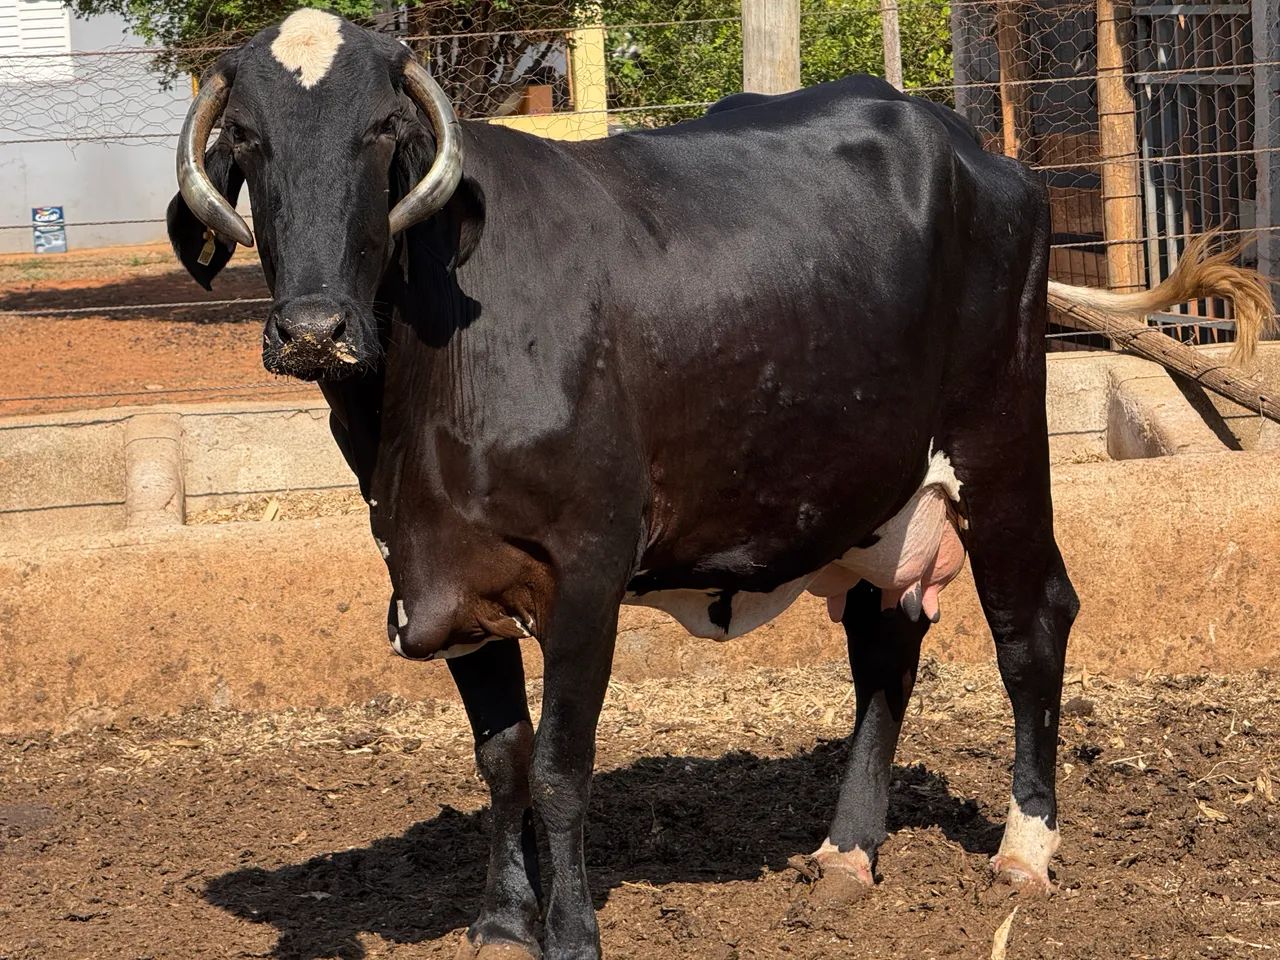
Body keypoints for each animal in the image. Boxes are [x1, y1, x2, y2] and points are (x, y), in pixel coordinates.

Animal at [167, 12, 1273, 959]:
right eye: (250, 141)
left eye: (381, 131)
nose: (314, 328)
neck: (422, 389)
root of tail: (968, 145)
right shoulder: (440, 573)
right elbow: (502, 759)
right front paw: (501, 922)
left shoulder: (586, 570)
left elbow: (561, 766)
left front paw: (572, 933)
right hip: (870, 489)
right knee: (884, 647)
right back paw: (847, 854)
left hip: (997, 445)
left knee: (1031, 622)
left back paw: (1024, 850)